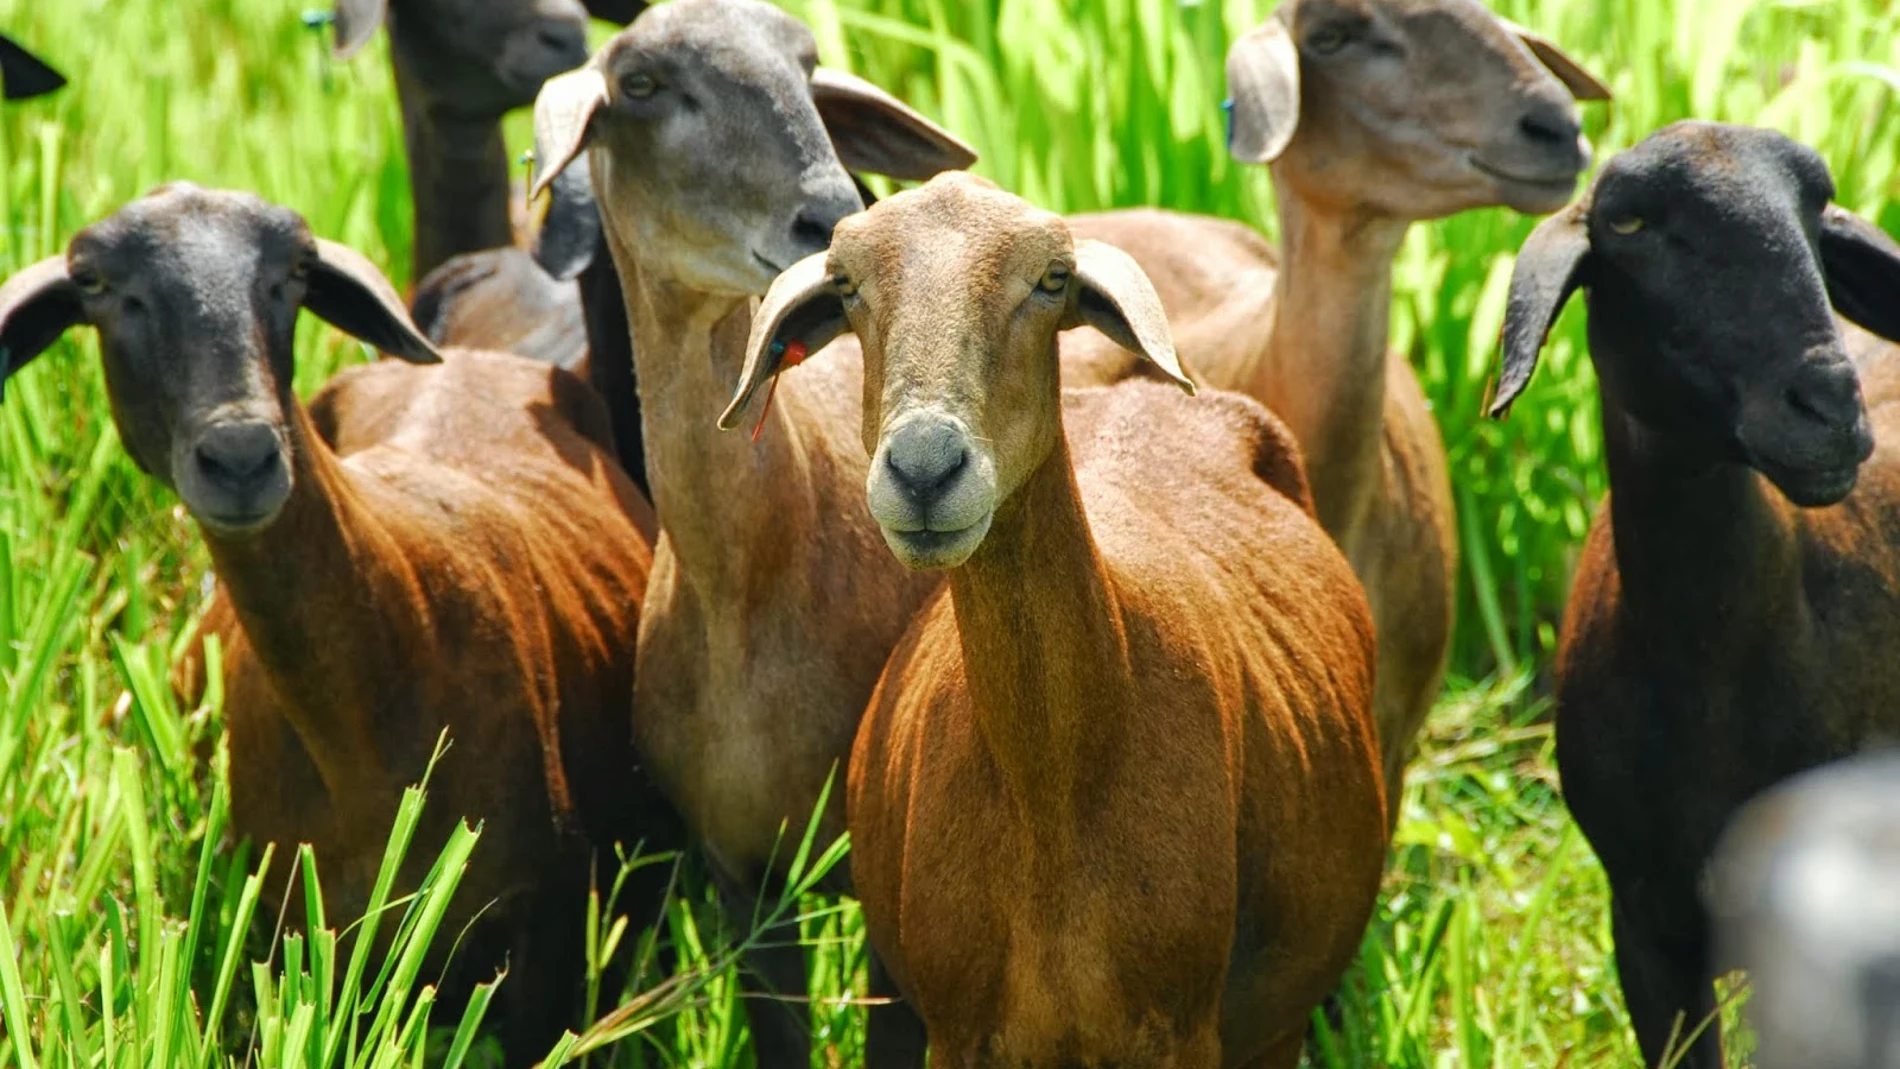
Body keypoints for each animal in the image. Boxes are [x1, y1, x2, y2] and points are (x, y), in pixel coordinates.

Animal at [722, 170, 1387, 1069]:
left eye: (1051, 280)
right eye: (849, 286)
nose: (925, 469)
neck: (1054, 791)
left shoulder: (1184, 1032)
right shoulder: (957, 1033)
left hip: (1276, 1024)